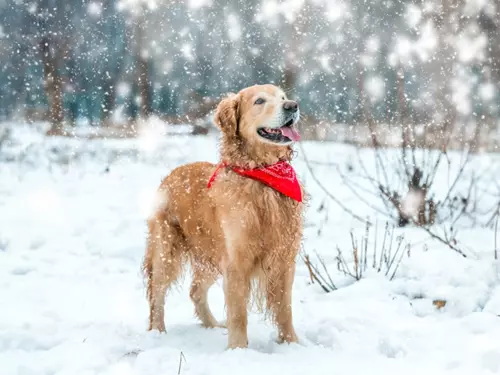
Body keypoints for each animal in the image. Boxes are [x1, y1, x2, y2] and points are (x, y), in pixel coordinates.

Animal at [144, 84, 304, 350]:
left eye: (283, 97)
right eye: (259, 101)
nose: (292, 105)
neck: (261, 175)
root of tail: (171, 174)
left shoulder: (284, 257)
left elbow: (285, 309)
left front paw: (292, 344)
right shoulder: (236, 260)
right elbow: (238, 314)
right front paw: (238, 350)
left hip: (211, 254)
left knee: (195, 290)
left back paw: (212, 325)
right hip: (166, 250)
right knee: (157, 294)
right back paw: (157, 332)